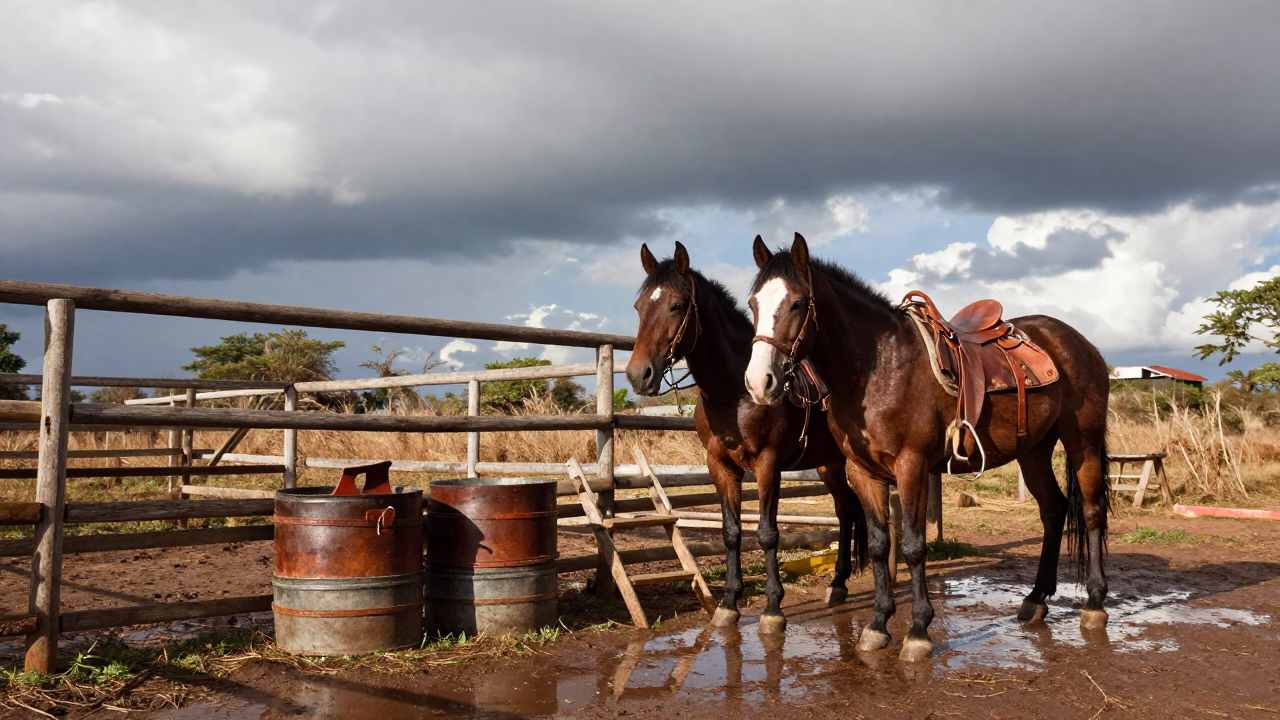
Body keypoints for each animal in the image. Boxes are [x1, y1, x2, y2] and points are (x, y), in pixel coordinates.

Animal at [624, 241, 868, 633]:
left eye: (676, 305)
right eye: (639, 307)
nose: (637, 374)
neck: (734, 394)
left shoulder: (768, 464)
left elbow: (767, 533)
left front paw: (773, 608)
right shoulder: (721, 466)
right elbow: (731, 532)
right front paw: (728, 602)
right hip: (829, 464)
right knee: (845, 509)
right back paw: (838, 584)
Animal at [743, 233, 1111, 661]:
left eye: (797, 303)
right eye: (753, 304)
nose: (759, 383)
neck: (876, 369)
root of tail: (1080, 344)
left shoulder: (912, 466)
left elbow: (915, 547)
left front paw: (918, 630)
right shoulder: (862, 471)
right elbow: (879, 544)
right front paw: (878, 624)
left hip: (1083, 441)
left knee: (1091, 512)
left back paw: (1095, 604)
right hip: (1033, 450)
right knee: (1053, 511)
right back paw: (1036, 599)